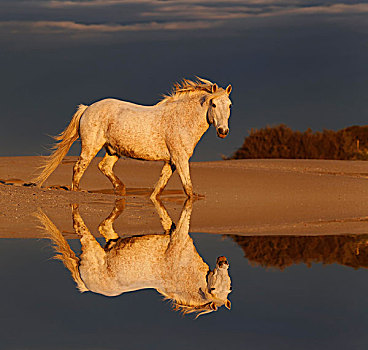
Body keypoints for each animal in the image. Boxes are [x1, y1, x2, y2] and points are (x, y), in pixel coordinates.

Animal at [33, 78, 231, 198]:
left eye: (229, 104)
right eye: (213, 104)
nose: (223, 131)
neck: (181, 118)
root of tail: (87, 108)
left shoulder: (171, 162)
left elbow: (159, 188)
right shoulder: (180, 159)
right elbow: (188, 189)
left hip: (113, 151)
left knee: (104, 166)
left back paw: (121, 190)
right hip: (91, 147)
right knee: (78, 168)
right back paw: (78, 192)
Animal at [37, 200, 233, 318]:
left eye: (229, 286)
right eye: (214, 289)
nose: (223, 261)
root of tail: (86, 286)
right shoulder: (179, 236)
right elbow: (185, 216)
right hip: (90, 247)